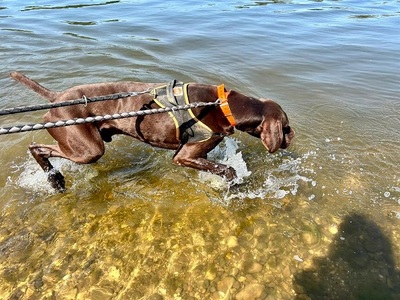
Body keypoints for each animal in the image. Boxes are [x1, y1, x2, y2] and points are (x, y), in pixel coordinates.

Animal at [10, 71, 296, 191]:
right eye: (285, 125)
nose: (292, 136)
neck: (223, 106)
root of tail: (56, 98)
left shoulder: (195, 154)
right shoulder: (184, 156)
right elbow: (228, 170)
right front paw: (234, 185)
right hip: (88, 148)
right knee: (36, 148)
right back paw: (55, 180)